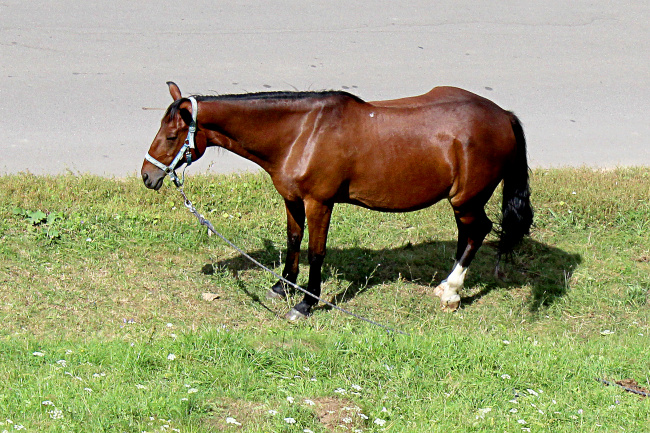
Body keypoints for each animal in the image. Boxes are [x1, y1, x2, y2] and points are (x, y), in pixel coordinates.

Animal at [142, 81, 532, 318]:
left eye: (172, 135)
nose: (148, 176)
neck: (302, 133)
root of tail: (503, 116)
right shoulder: (292, 199)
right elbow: (294, 240)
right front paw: (281, 287)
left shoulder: (319, 202)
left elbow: (316, 251)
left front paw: (305, 302)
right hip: (462, 202)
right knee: (467, 234)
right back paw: (446, 284)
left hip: (468, 199)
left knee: (479, 231)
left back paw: (452, 291)